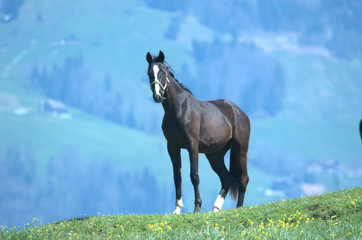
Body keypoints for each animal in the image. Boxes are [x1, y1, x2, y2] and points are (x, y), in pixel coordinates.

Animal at [146, 50, 250, 214]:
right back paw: (215, 208)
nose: (157, 95)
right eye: (150, 73)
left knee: (243, 179)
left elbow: (194, 176)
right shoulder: (172, 147)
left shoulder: (192, 146)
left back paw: (238, 208)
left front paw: (197, 208)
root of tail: (239, 112)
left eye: (163, 72)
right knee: (227, 179)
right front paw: (177, 209)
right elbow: (177, 177)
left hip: (240, 150)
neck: (179, 110)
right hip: (214, 155)